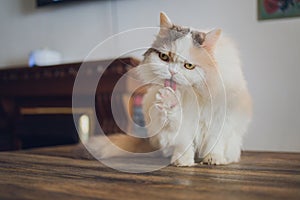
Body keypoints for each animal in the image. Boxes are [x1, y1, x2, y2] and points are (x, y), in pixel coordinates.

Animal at [85, 11, 253, 166]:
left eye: (189, 65)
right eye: (164, 57)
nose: (172, 72)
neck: (191, 93)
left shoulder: (221, 119)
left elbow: (214, 143)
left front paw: (213, 159)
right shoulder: (179, 124)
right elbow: (181, 139)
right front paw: (182, 161)